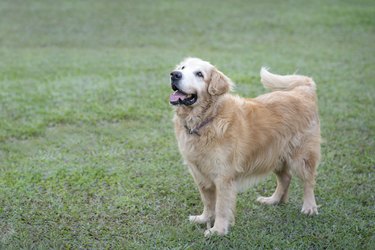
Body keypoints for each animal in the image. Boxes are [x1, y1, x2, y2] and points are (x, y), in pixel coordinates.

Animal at [170, 57, 320, 236]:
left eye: (199, 74)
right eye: (182, 68)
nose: (174, 74)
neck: (207, 119)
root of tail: (302, 91)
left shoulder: (223, 176)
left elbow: (221, 207)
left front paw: (218, 230)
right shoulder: (199, 173)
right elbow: (208, 202)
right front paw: (204, 218)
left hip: (301, 156)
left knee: (308, 181)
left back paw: (309, 207)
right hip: (274, 155)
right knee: (285, 178)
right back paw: (274, 200)